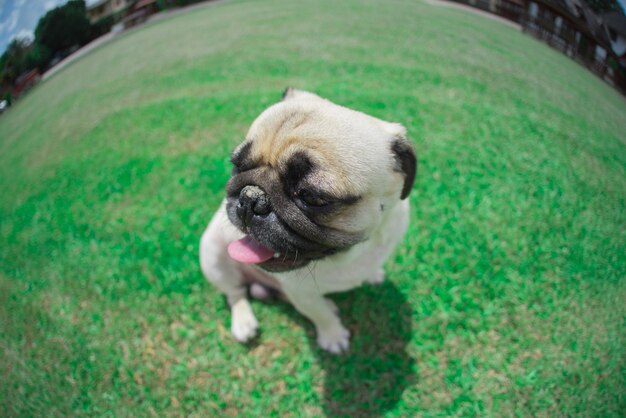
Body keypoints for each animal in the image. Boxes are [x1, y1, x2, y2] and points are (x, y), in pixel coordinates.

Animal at [200, 88, 414, 352]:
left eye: (312, 197)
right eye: (237, 167)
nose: (250, 197)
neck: (347, 256)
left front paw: (373, 274)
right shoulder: (302, 294)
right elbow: (320, 314)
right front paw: (333, 336)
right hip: (213, 258)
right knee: (235, 293)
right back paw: (243, 322)